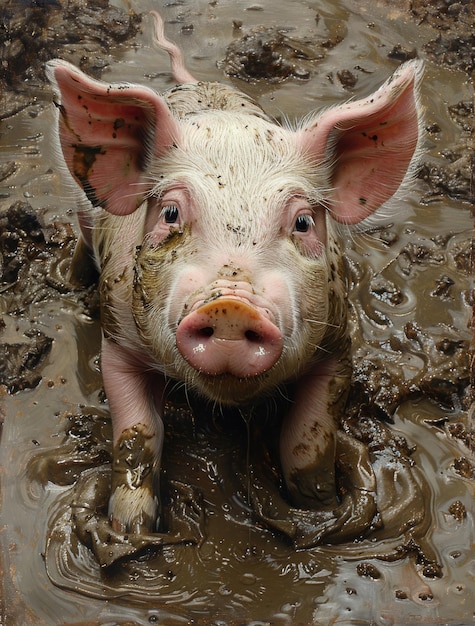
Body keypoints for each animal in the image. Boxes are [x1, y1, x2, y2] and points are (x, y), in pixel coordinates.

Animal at [46, 11, 422, 544]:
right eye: (170, 213)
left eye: (303, 222)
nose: (230, 304)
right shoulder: (118, 339)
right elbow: (137, 435)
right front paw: (128, 534)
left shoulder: (338, 342)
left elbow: (308, 443)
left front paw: (319, 514)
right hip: (83, 214)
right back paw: (72, 285)